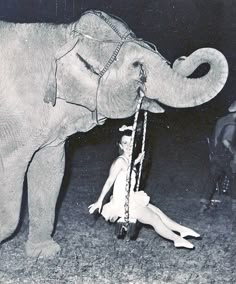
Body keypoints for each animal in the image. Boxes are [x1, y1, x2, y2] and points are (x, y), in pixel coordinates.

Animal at [0, 9, 229, 258]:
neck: (64, 36)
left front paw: (45, 253)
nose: (181, 59)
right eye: (137, 65)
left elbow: (51, 171)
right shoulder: (14, 124)